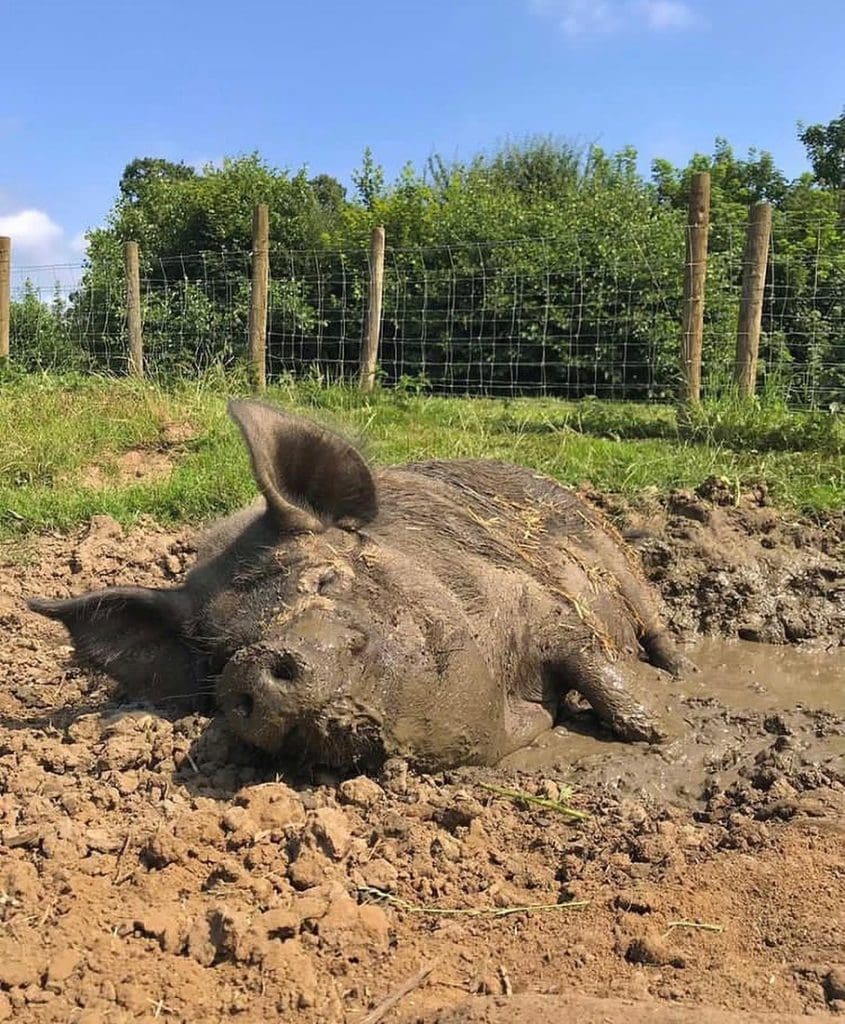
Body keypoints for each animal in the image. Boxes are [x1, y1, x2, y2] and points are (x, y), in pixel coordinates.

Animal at [31, 399, 692, 770]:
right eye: (218, 659)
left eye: (325, 577)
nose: (253, 662)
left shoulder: (538, 603)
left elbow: (591, 663)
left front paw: (659, 734)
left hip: (615, 558)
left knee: (653, 622)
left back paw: (680, 670)